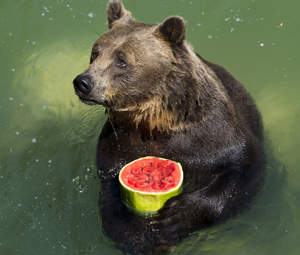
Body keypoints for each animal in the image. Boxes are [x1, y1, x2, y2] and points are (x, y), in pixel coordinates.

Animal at [72, 0, 264, 255]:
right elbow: (110, 189)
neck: (154, 122)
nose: (83, 82)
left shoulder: (213, 137)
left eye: (121, 60)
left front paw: (174, 217)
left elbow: (241, 168)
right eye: (95, 53)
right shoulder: (117, 142)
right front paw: (133, 235)